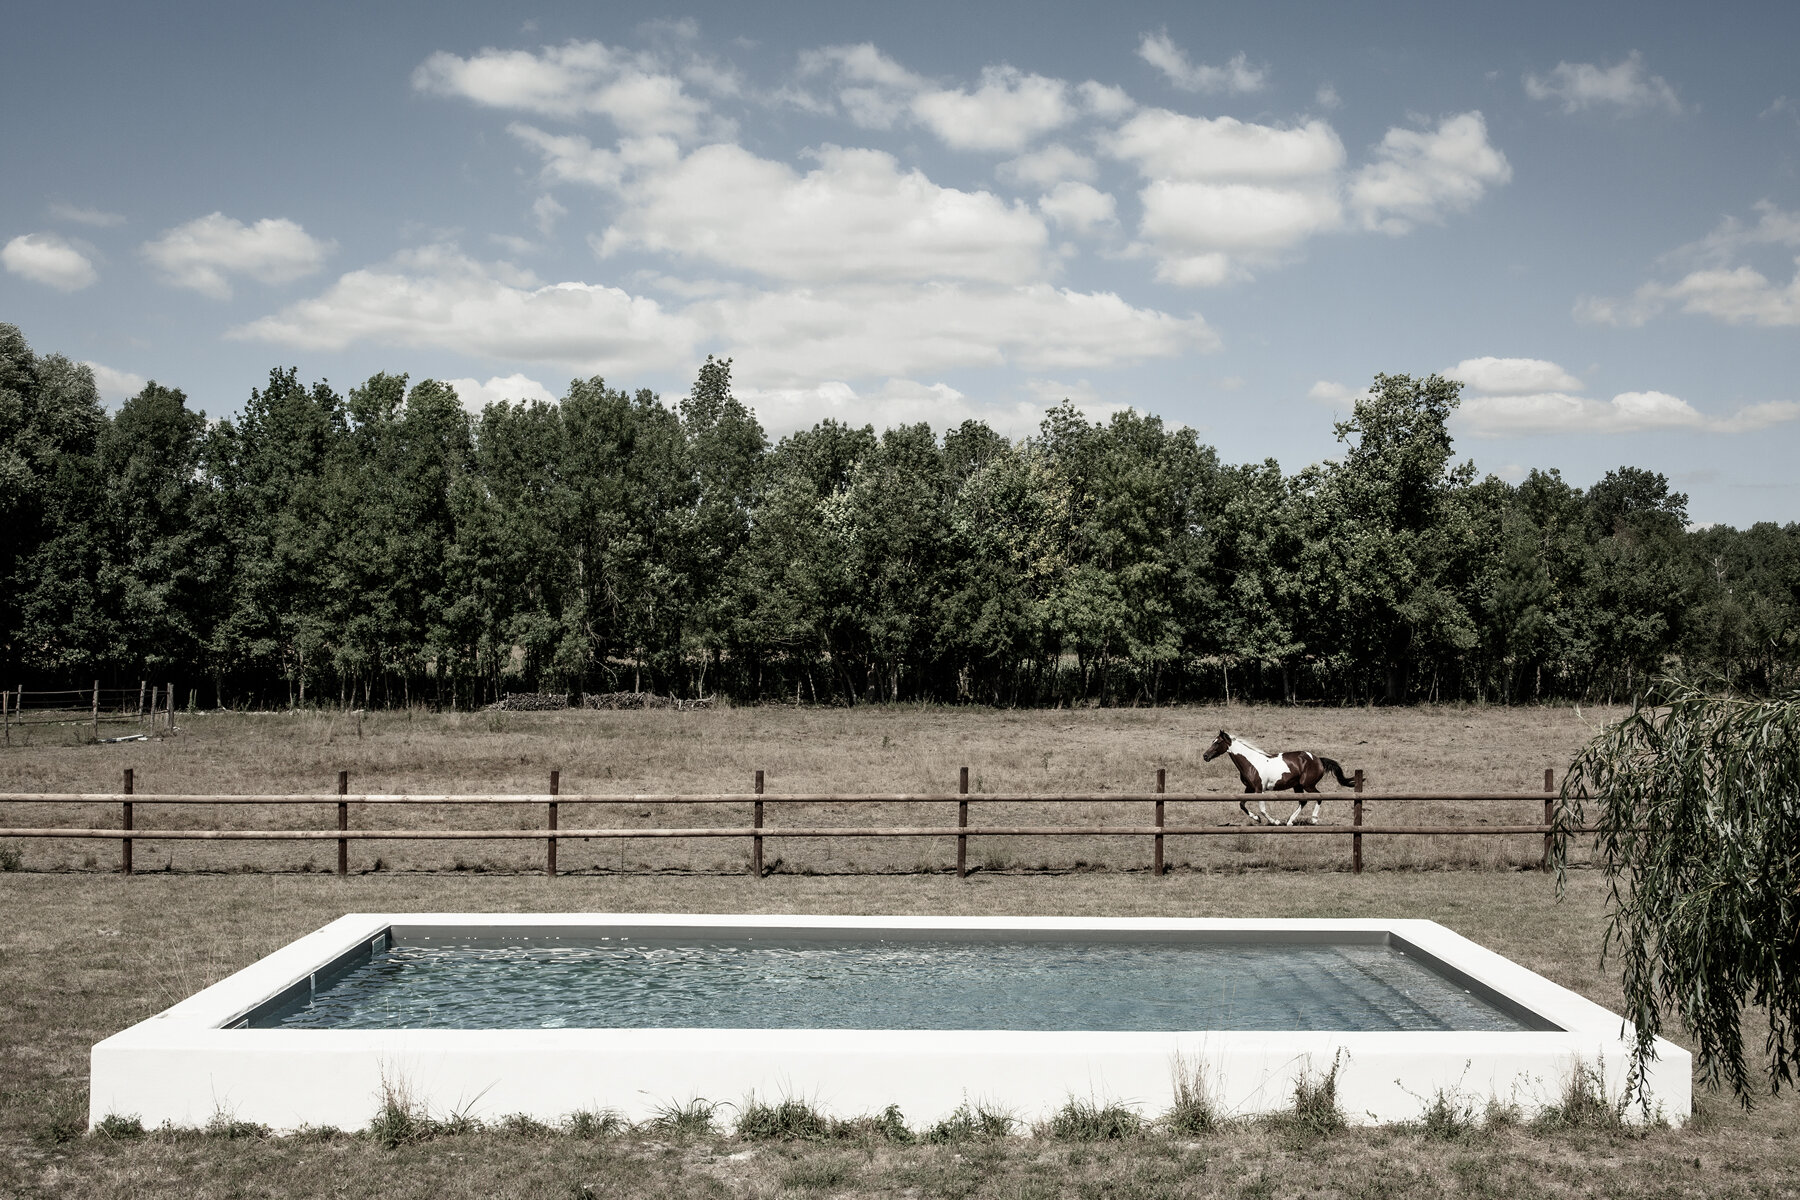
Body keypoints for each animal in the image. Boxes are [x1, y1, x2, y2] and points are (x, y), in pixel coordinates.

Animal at [1202, 734, 1353, 827]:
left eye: (1218, 742)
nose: (1205, 756)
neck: (1251, 762)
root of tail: (1318, 759)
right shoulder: (1249, 788)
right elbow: (1242, 804)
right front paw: (1256, 818)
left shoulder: (1259, 789)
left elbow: (1262, 809)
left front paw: (1275, 822)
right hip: (1297, 786)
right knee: (1303, 801)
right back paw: (1290, 821)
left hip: (1307, 785)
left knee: (1318, 796)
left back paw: (1314, 819)